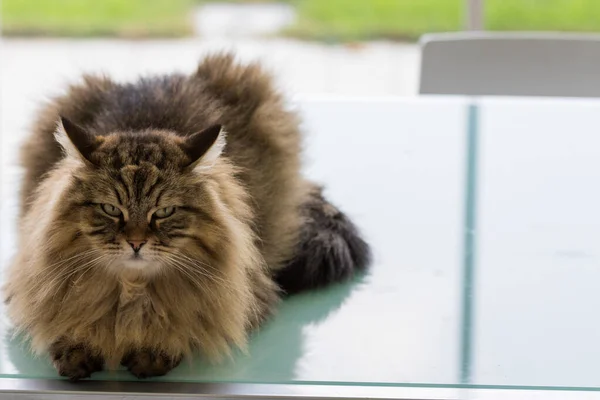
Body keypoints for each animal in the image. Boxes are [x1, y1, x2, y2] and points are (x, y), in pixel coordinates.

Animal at [2, 53, 370, 382]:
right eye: (111, 209)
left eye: (164, 211)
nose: (136, 242)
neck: (131, 290)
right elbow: (66, 327)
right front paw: (75, 352)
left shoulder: (250, 297)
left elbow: (183, 331)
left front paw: (153, 354)